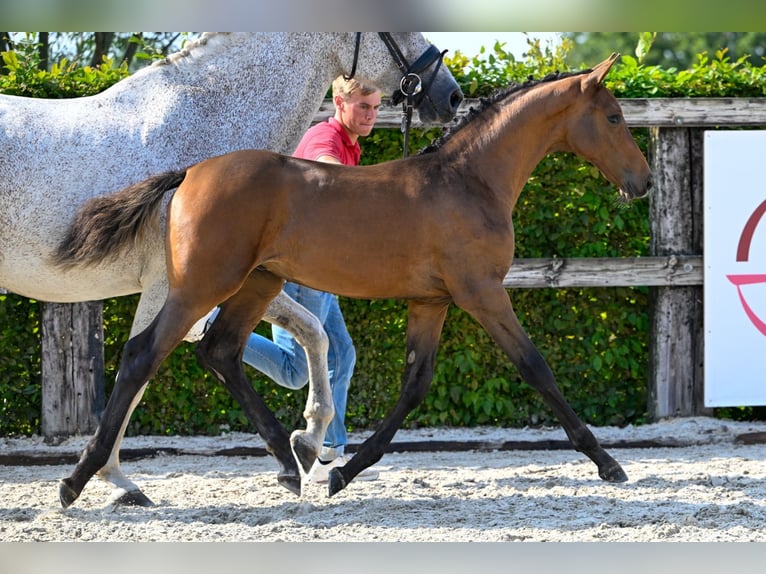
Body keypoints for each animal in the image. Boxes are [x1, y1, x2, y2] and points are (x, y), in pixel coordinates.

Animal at [55, 53, 656, 504]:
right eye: (613, 117)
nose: (644, 182)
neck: (467, 181)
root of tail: (189, 173)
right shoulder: (482, 293)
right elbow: (536, 368)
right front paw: (607, 463)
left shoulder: (431, 302)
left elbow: (414, 384)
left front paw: (343, 473)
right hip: (202, 285)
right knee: (144, 354)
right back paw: (77, 480)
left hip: (257, 283)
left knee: (219, 350)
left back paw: (290, 460)